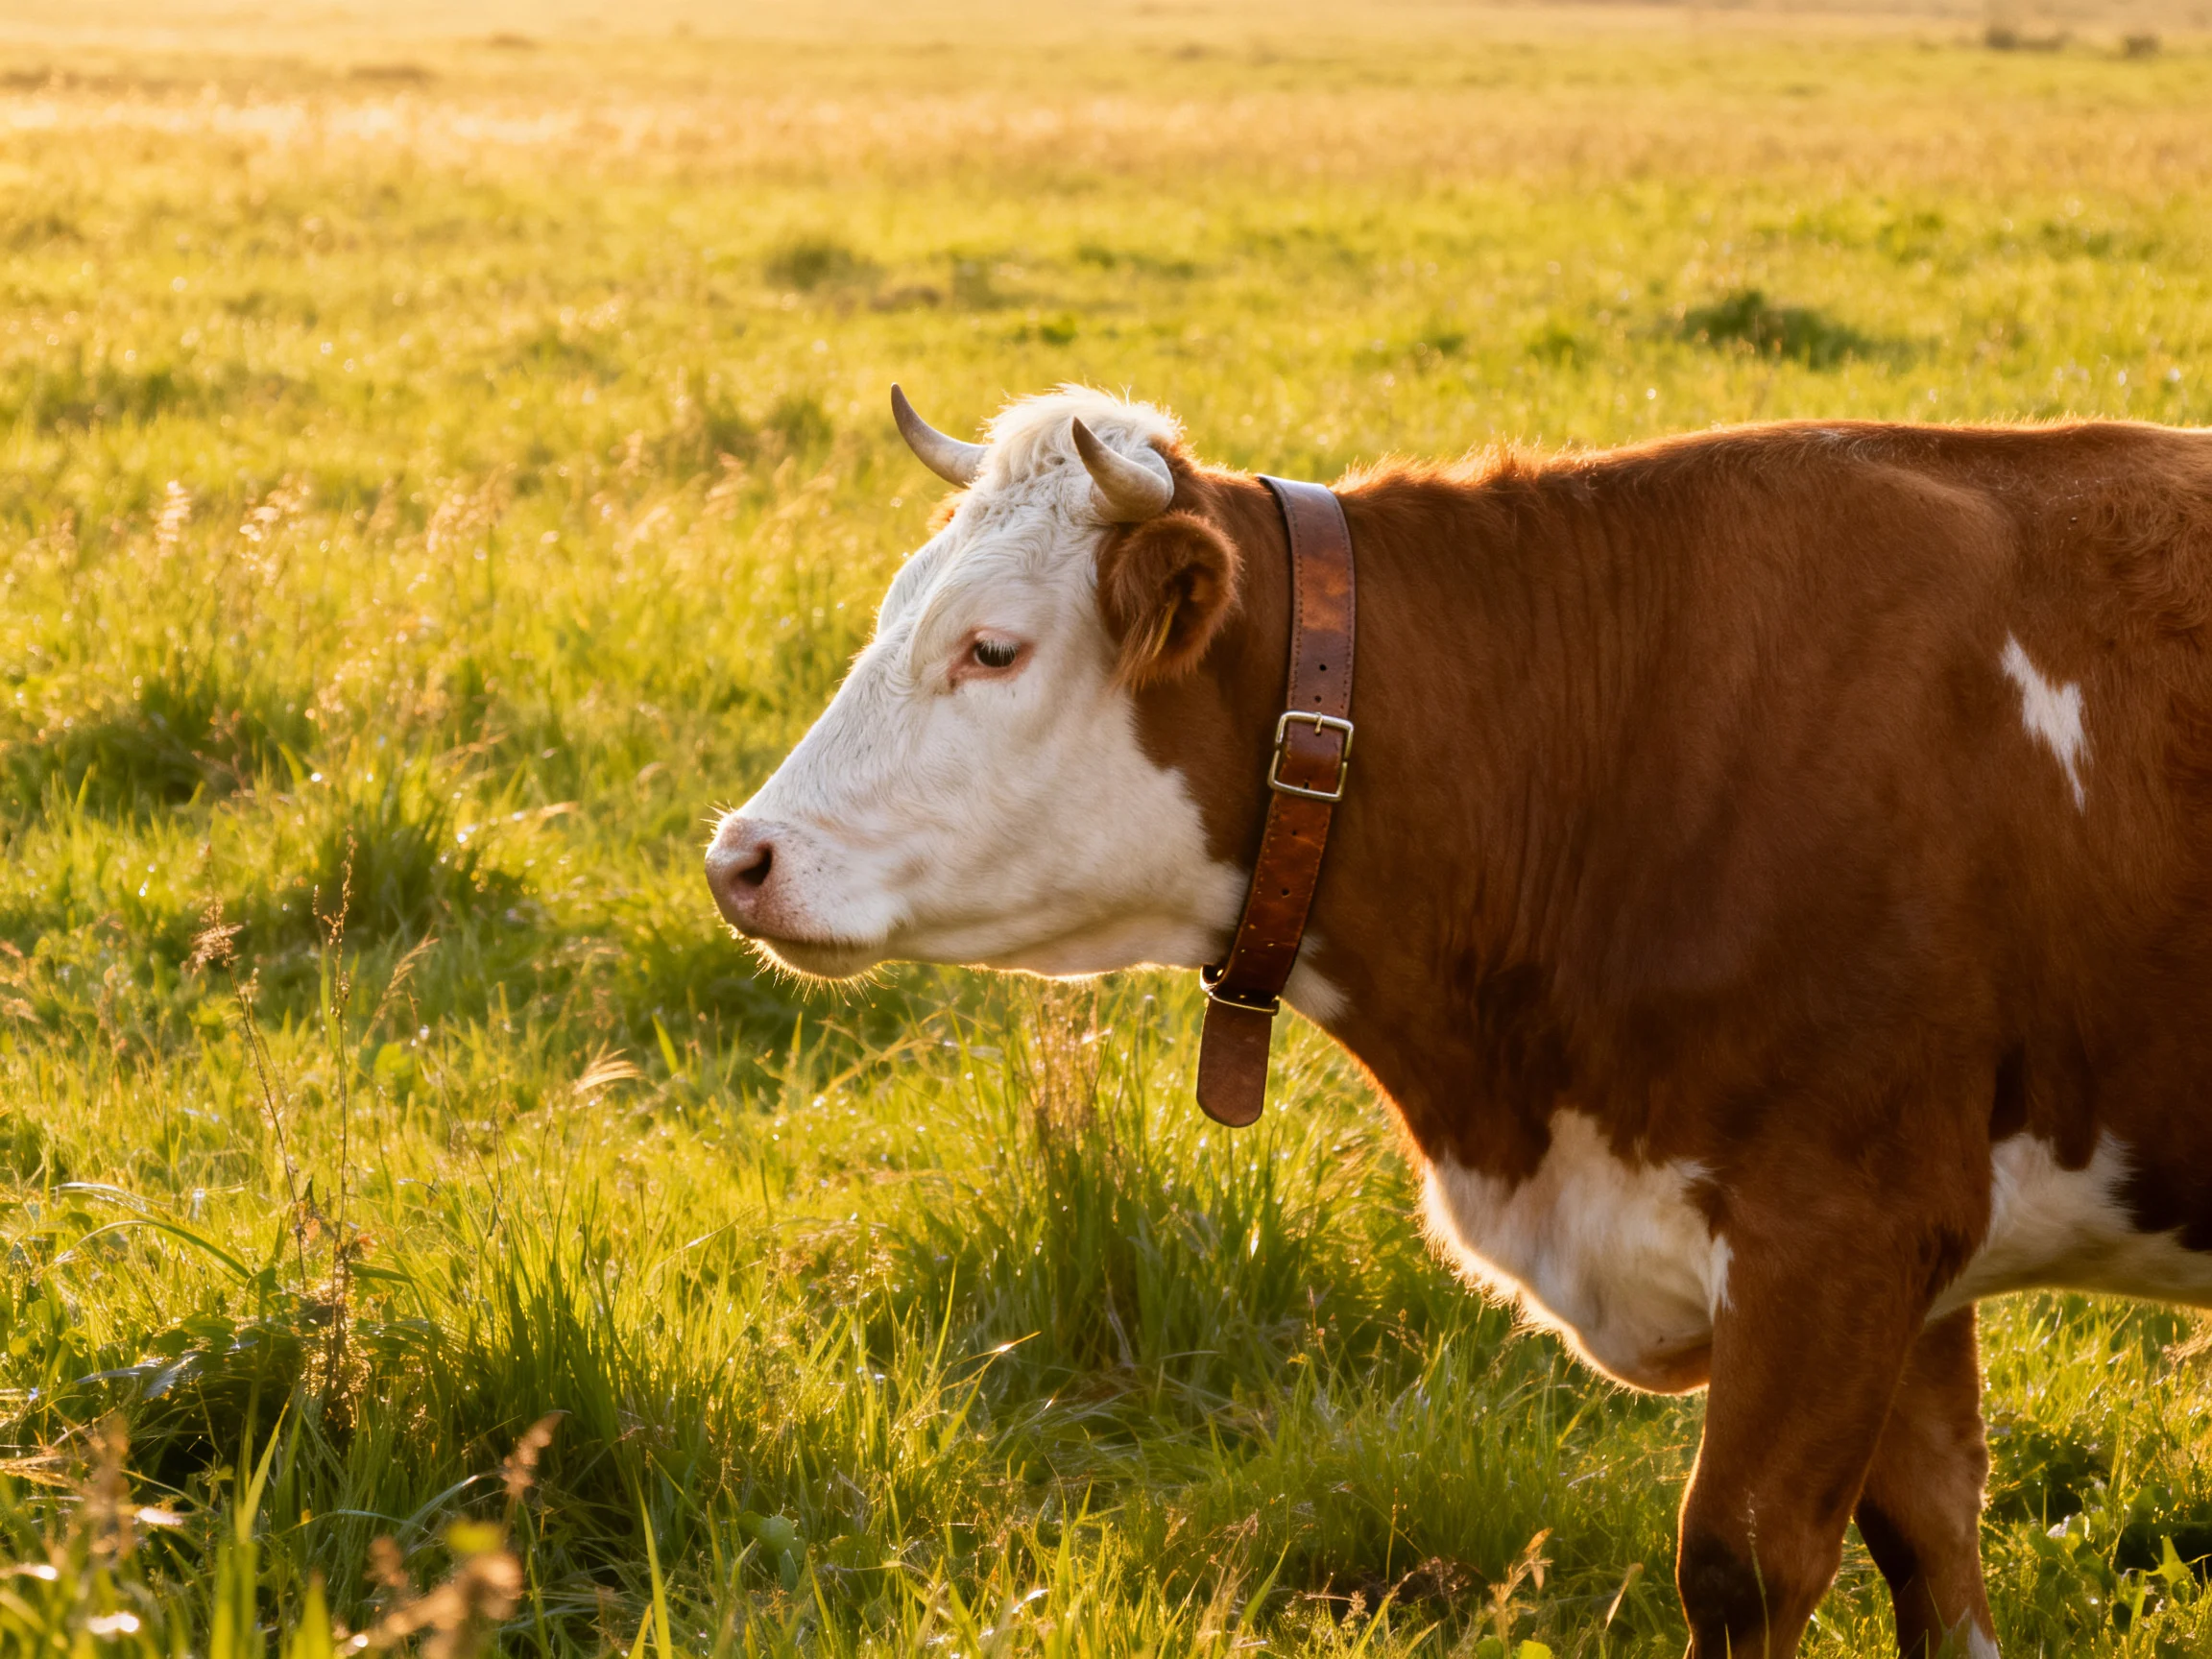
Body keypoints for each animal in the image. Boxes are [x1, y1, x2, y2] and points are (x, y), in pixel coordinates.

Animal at [705, 383, 2212, 1658]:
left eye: (993, 648)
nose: (741, 857)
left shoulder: (1840, 1230)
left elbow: (1742, 1562)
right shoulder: (1913, 1262)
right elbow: (1935, 1544)